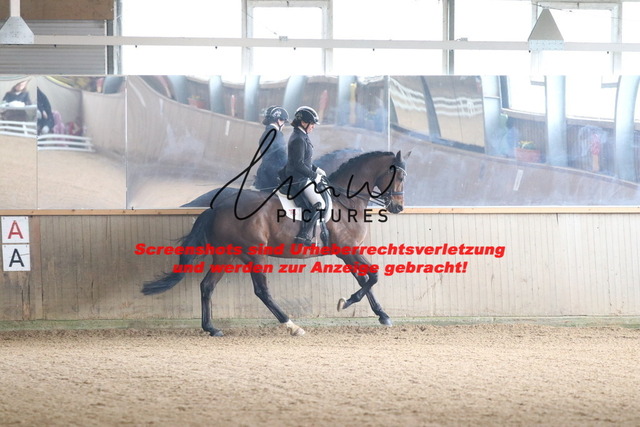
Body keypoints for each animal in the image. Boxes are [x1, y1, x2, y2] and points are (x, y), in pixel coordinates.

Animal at [142, 150, 409, 337]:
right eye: (399, 176)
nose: (398, 207)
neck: (346, 200)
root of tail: (218, 206)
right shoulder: (348, 249)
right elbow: (373, 275)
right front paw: (346, 302)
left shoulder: (347, 252)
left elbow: (365, 279)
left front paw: (382, 315)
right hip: (254, 253)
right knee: (261, 290)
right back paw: (292, 326)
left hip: (225, 254)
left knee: (207, 286)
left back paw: (211, 328)